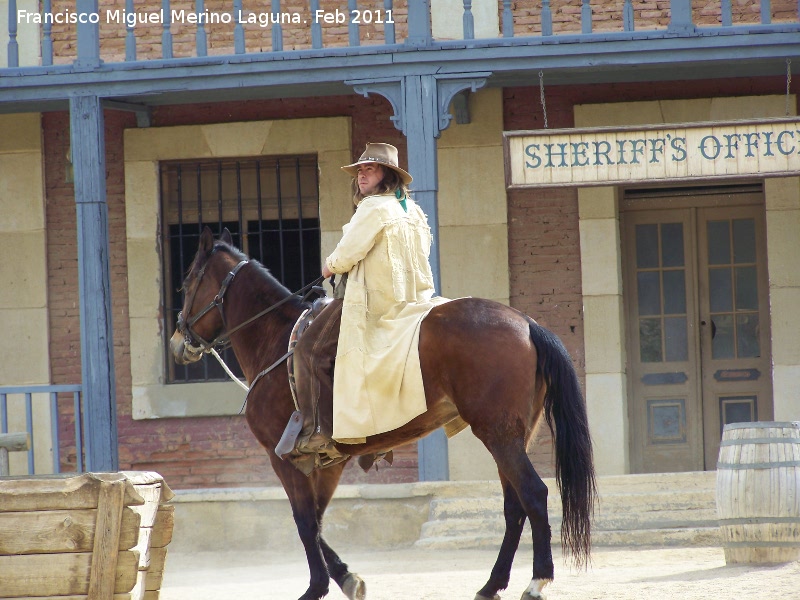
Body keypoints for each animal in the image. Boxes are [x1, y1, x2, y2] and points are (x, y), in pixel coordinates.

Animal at [169, 226, 592, 600]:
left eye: (188, 283)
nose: (177, 341)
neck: (275, 340)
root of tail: (527, 324)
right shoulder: (328, 462)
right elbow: (317, 521)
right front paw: (345, 577)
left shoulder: (284, 457)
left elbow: (305, 522)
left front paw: (317, 587)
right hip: (511, 436)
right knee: (513, 506)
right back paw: (491, 585)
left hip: (499, 435)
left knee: (533, 494)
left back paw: (536, 582)